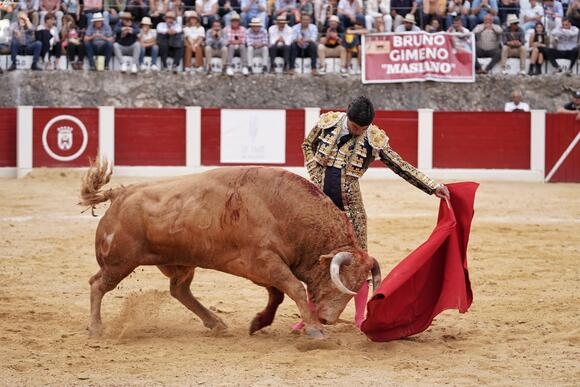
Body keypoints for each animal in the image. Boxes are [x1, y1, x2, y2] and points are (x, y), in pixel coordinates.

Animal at [80, 161, 380, 340]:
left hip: (181, 262)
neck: (283, 211)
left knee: (179, 290)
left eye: (360, 285)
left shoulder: (262, 268)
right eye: (340, 280)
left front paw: (259, 322)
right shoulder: (265, 262)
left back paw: (216, 323)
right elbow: (294, 289)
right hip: (120, 262)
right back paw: (96, 327)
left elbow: (278, 295)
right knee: (97, 285)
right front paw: (315, 331)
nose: (328, 319)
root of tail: (120, 194)